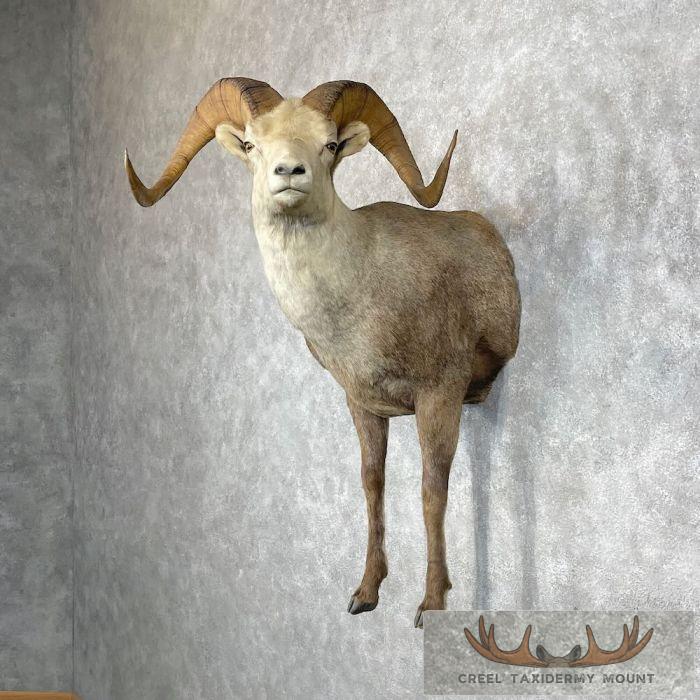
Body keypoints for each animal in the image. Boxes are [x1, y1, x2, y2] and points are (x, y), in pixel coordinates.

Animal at [125, 78, 521, 628]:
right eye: (251, 143)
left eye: (329, 145)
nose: (289, 172)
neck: (362, 294)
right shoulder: (364, 407)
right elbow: (373, 484)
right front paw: (365, 594)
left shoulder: (439, 396)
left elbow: (431, 492)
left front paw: (430, 606)